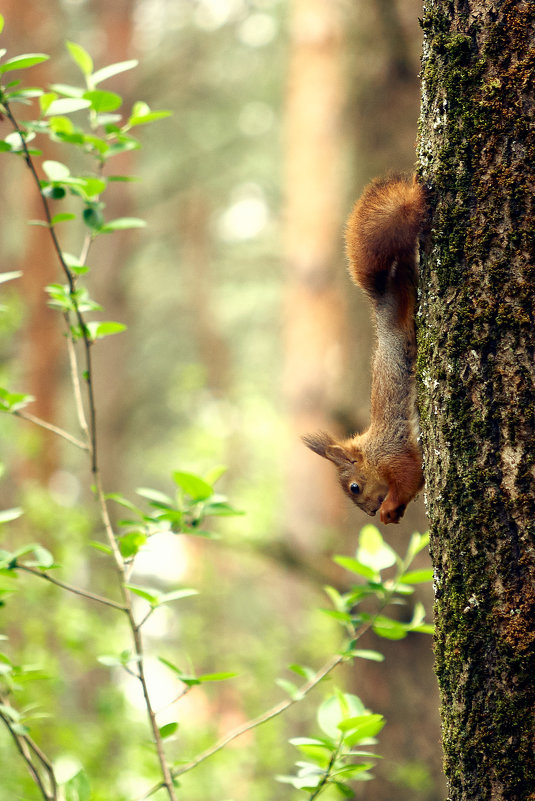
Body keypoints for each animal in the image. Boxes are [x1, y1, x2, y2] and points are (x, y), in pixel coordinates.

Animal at [306, 173, 428, 524]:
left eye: (355, 488)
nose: (372, 513)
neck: (372, 452)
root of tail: (380, 300)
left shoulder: (395, 455)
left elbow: (410, 478)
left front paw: (390, 507)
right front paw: (394, 512)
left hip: (401, 308)